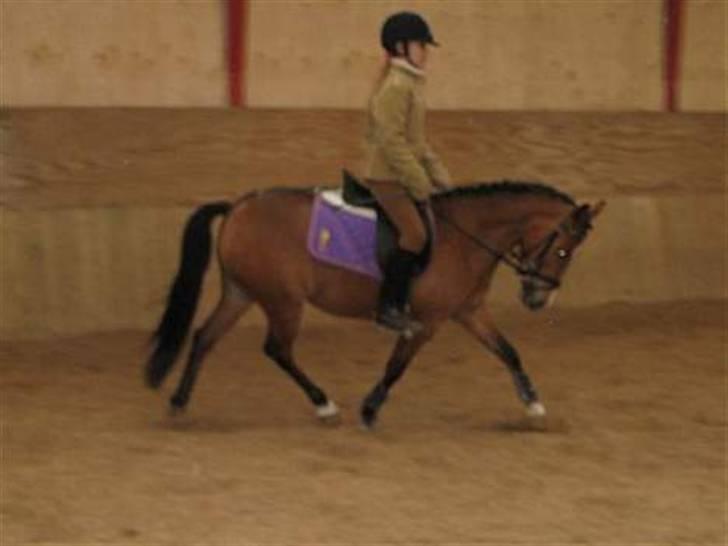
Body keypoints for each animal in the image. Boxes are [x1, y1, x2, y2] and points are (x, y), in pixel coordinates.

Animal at [144, 180, 604, 428]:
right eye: (563, 250)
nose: (539, 298)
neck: (465, 236)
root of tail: (238, 206)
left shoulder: (468, 312)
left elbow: (508, 351)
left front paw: (533, 403)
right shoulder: (427, 321)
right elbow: (396, 366)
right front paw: (369, 408)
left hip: (242, 292)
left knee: (204, 338)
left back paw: (179, 403)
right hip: (283, 300)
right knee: (277, 349)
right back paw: (325, 405)